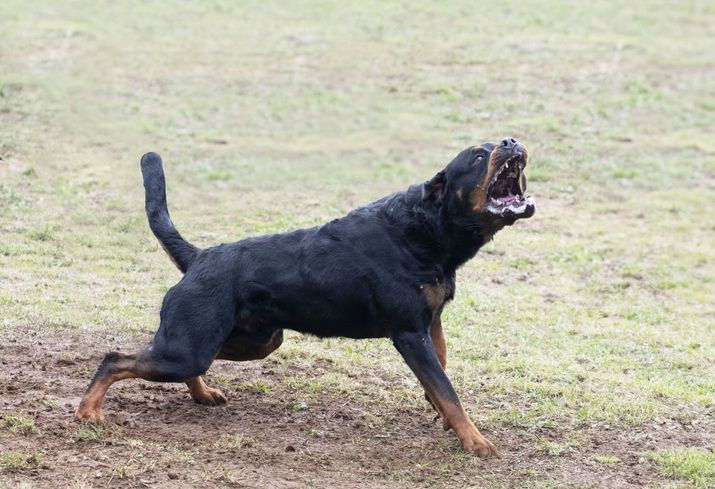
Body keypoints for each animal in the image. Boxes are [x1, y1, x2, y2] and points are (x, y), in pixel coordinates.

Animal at [79, 135, 536, 456]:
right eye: (477, 156)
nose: (511, 140)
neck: (427, 228)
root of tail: (199, 257)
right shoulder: (409, 333)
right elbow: (448, 390)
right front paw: (476, 443)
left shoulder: (432, 320)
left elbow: (441, 374)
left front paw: (444, 420)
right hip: (192, 347)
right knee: (115, 358)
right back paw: (88, 412)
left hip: (250, 340)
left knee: (175, 359)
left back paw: (202, 393)